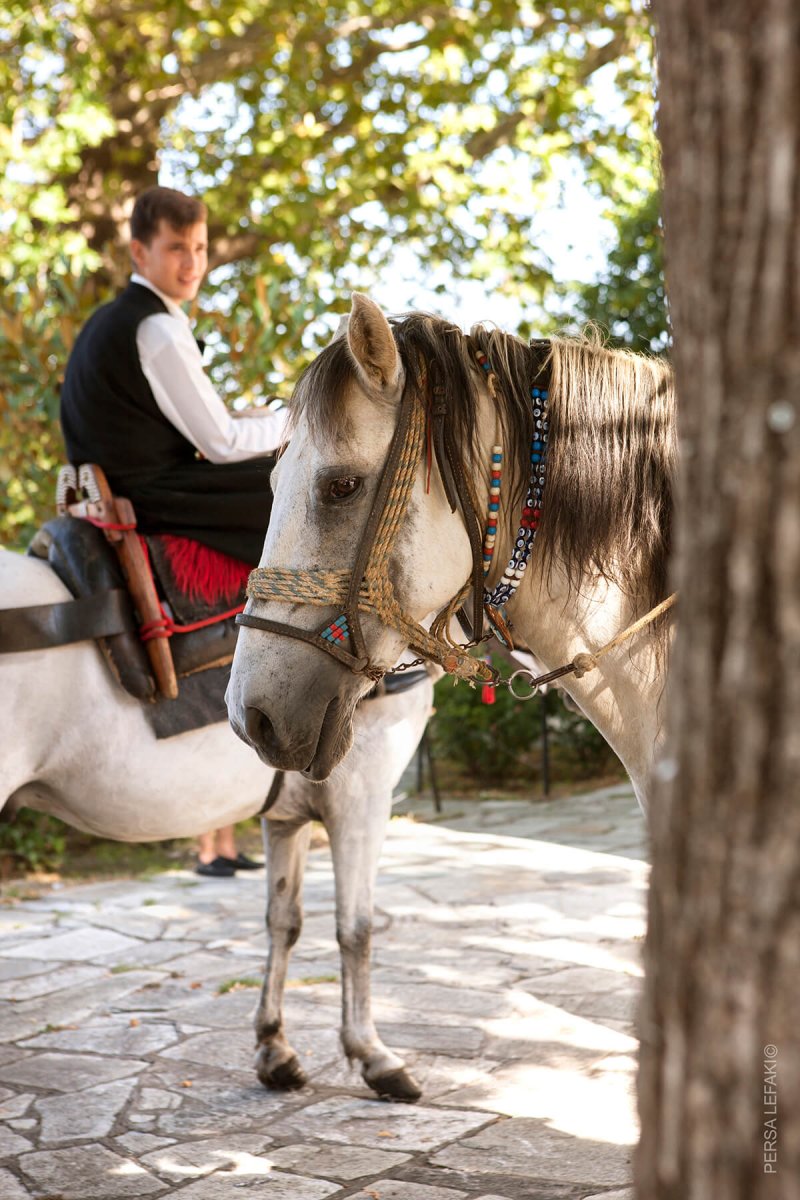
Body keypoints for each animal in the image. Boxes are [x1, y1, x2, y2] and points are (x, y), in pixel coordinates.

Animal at [1, 549, 431, 1099]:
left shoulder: (285, 816)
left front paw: (274, 1047)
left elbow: (283, 921)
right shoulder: (362, 797)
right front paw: (372, 1054)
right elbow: (355, 929)